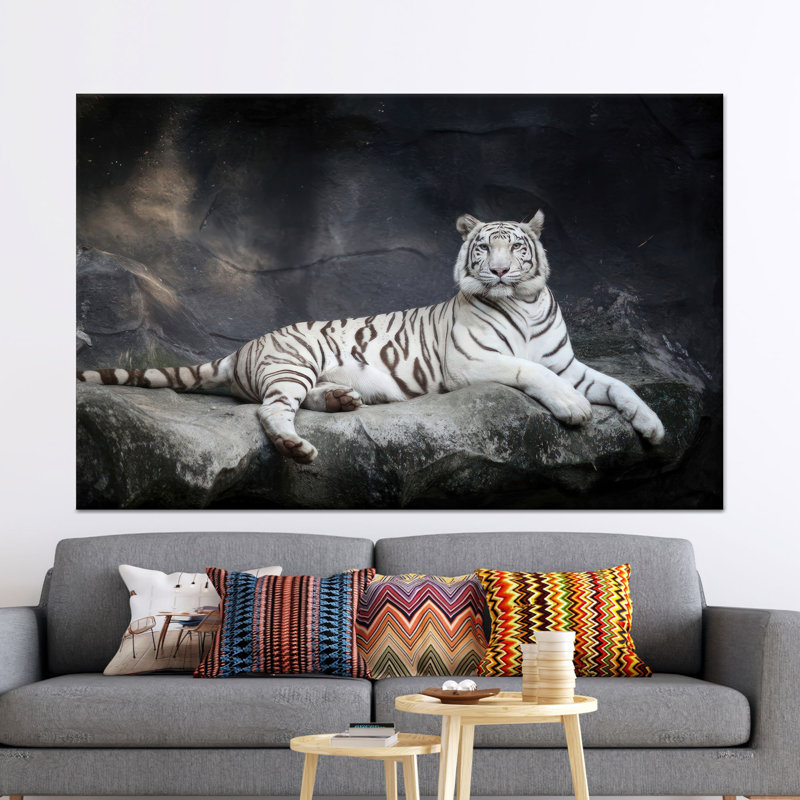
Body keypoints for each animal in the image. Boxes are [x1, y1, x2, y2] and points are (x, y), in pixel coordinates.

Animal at [78, 212, 665, 463]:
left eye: (515, 248)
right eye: (484, 248)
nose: (499, 271)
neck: (523, 300)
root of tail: (240, 349)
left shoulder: (568, 362)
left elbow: (618, 385)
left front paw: (654, 427)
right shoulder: (472, 363)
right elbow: (531, 370)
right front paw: (574, 409)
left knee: (290, 402)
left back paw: (342, 399)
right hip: (292, 362)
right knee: (270, 411)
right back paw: (297, 445)